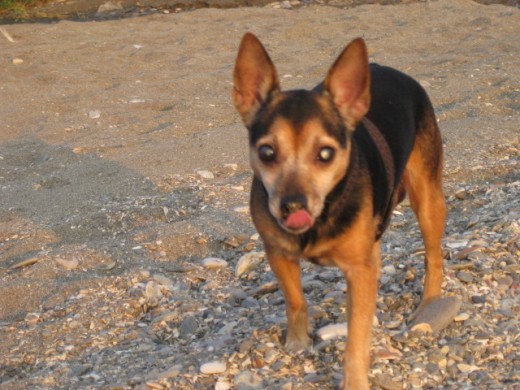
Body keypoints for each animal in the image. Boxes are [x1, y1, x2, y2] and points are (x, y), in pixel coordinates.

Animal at [233, 32, 446, 388]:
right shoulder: (278, 252)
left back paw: (429, 303)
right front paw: (298, 341)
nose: (292, 206)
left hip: (428, 199)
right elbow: (295, 299)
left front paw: (355, 380)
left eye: (325, 154)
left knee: (434, 255)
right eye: (266, 152)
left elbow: (356, 338)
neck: (321, 218)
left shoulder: (359, 272)